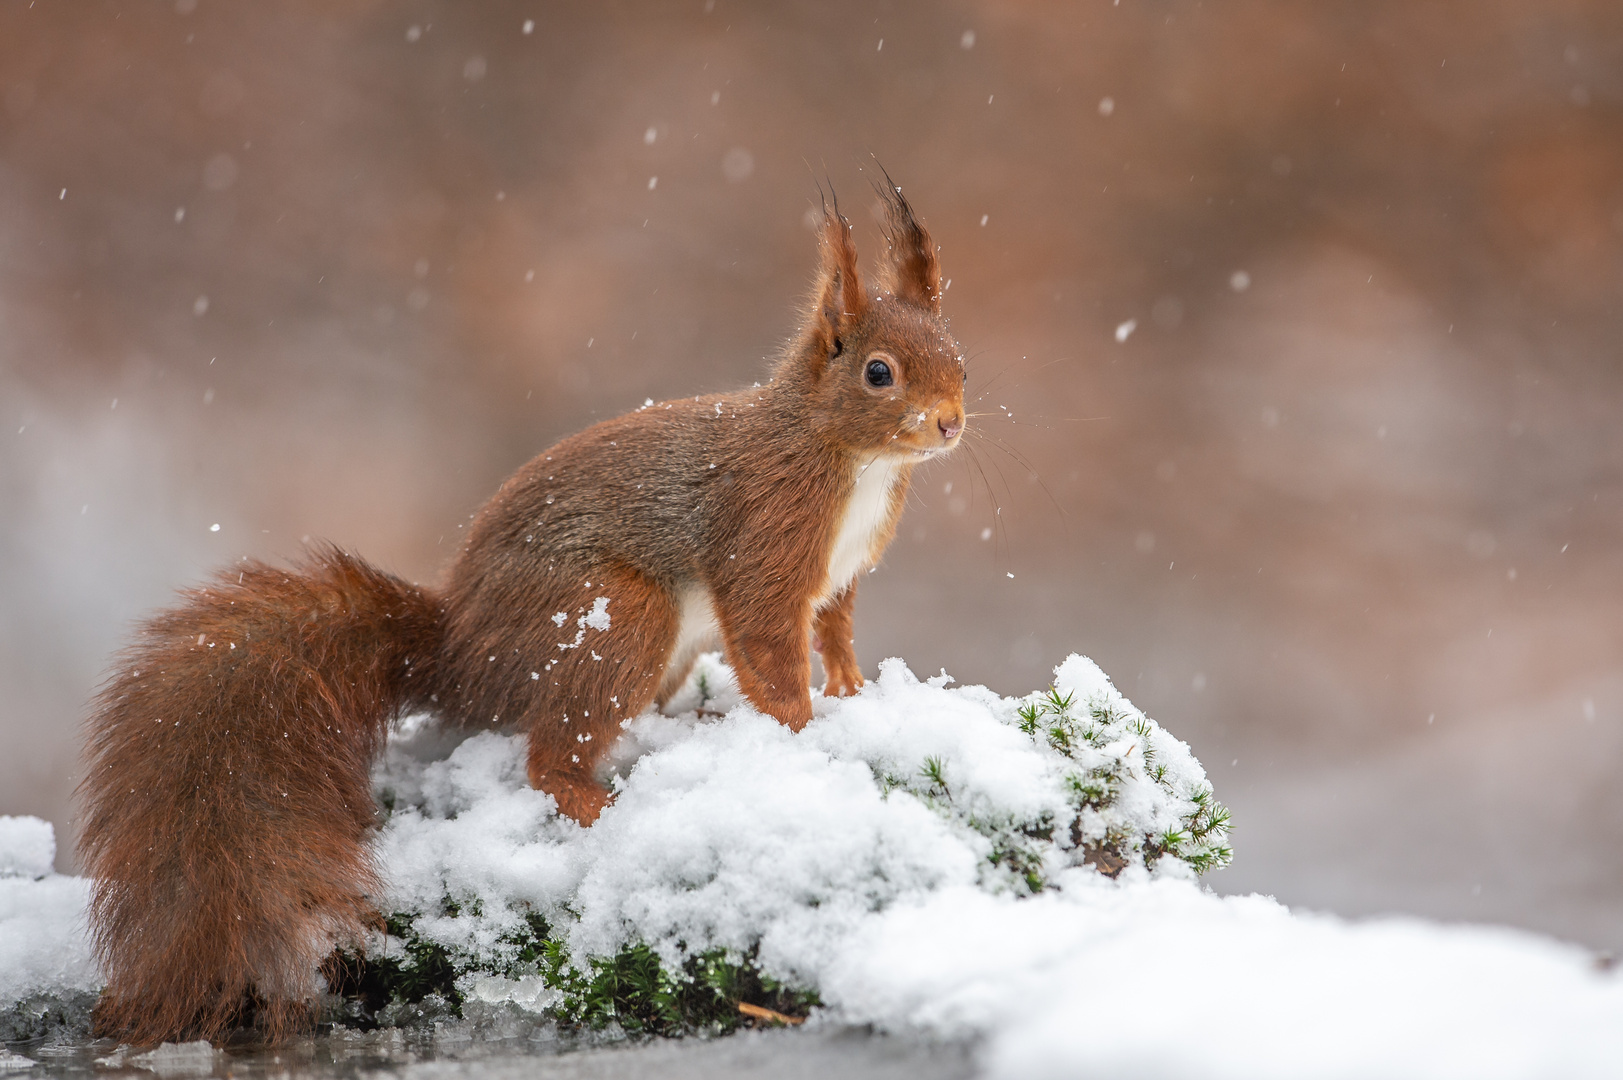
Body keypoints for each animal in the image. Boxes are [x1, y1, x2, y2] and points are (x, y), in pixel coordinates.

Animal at [79, 187, 960, 1045]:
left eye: (956, 356)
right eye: (878, 373)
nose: (950, 422)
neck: (849, 459)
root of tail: (460, 657)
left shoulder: (839, 580)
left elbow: (835, 635)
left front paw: (852, 695)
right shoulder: (763, 542)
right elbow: (770, 649)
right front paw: (802, 732)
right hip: (616, 615)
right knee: (548, 756)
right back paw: (597, 801)